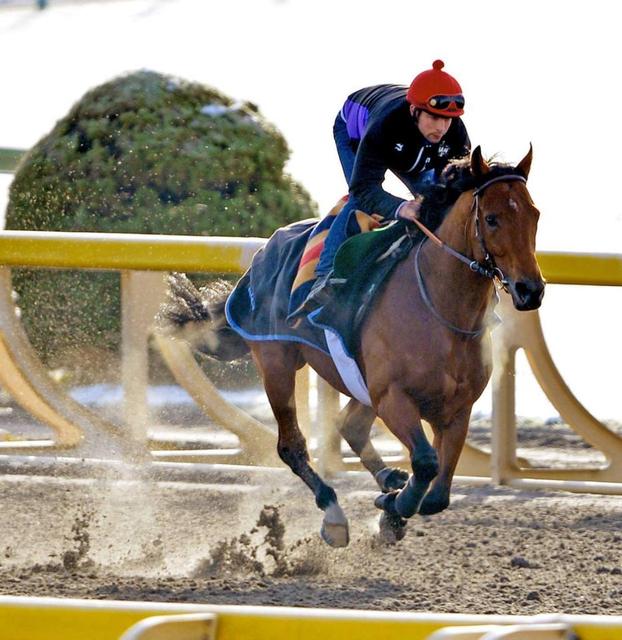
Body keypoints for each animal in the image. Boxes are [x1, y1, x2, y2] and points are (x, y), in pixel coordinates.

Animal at [160, 146, 544, 552]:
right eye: (491, 218)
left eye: (534, 214)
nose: (530, 290)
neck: (439, 310)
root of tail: (265, 251)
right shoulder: (393, 397)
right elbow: (426, 464)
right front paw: (396, 504)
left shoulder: (456, 409)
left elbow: (437, 493)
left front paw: (394, 506)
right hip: (277, 363)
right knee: (292, 445)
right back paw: (334, 513)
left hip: (360, 385)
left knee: (350, 426)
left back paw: (388, 480)